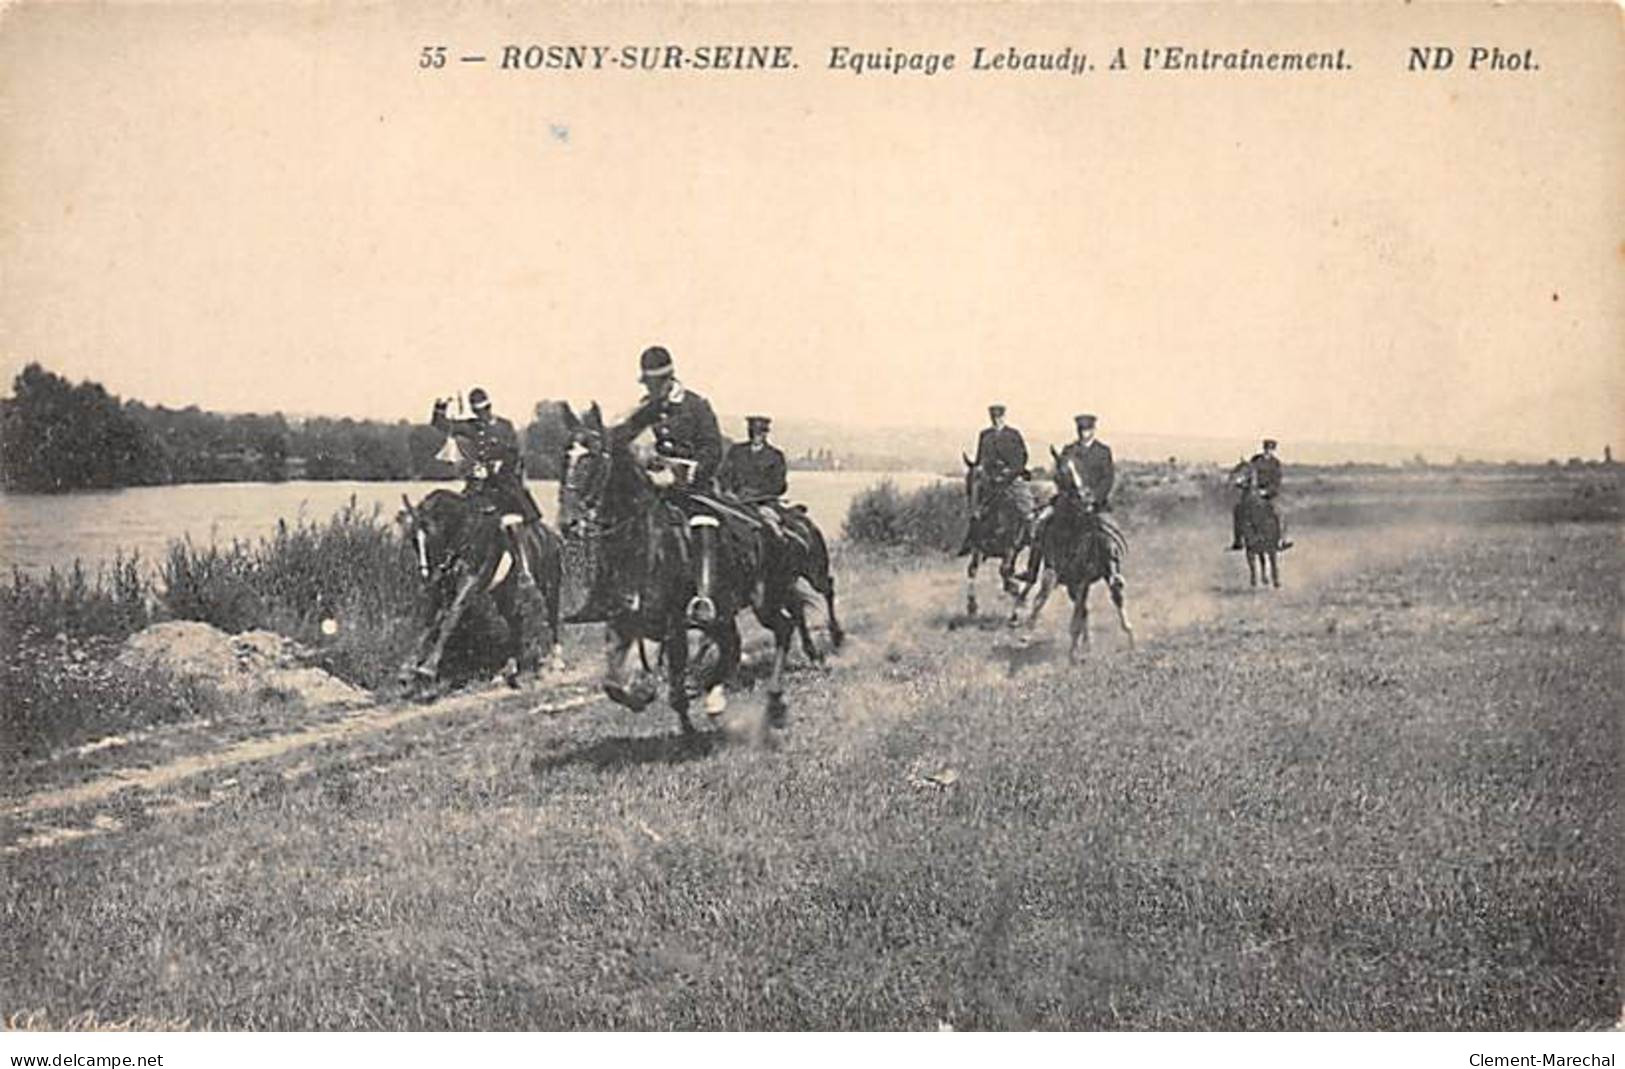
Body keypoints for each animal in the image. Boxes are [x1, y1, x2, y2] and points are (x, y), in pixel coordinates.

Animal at [398, 487, 565, 685]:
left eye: (433, 536)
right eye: (414, 541)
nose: (427, 578)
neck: (463, 536)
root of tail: (551, 535)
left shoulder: (469, 584)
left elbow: (451, 618)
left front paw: (427, 668)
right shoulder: (444, 591)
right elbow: (429, 623)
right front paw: (407, 668)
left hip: (549, 585)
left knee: (552, 616)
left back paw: (556, 662)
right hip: (504, 594)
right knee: (514, 623)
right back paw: (508, 670)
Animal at [559, 399, 806, 734]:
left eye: (592, 457)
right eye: (565, 457)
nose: (567, 523)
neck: (642, 545)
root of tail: (769, 524)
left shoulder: (674, 625)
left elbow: (676, 688)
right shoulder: (621, 623)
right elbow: (612, 684)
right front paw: (643, 694)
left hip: (763, 600)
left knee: (782, 629)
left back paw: (773, 703)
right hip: (724, 612)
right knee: (733, 645)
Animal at [955, 451, 1033, 620]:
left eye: (985, 485)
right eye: (967, 482)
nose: (975, 517)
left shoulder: (1010, 548)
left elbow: (1004, 570)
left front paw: (1015, 590)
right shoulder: (978, 548)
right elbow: (972, 569)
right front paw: (972, 606)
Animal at [1020, 441, 1137, 656]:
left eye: (1082, 468)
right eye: (1061, 472)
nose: (1085, 499)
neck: (1069, 530)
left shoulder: (1083, 577)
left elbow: (1077, 617)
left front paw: (1073, 653)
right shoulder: (1056, 572)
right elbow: (1043, 595)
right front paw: (1027, 632)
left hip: (1105, 575)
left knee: (1116, 596)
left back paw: (1129, 637)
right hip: (1071, 586)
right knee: (1084, 610)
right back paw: (1086, 644)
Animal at [1228, 461, 1280, 591]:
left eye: (1246, 469)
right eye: (1236, 468)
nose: (1231, 479)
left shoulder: (1271, 548)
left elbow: (1273, 563)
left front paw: (1276, 582)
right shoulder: (1250, 547)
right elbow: (1252, 564)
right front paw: (1254, 582)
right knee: (1262, 561)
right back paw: (1264, 580)